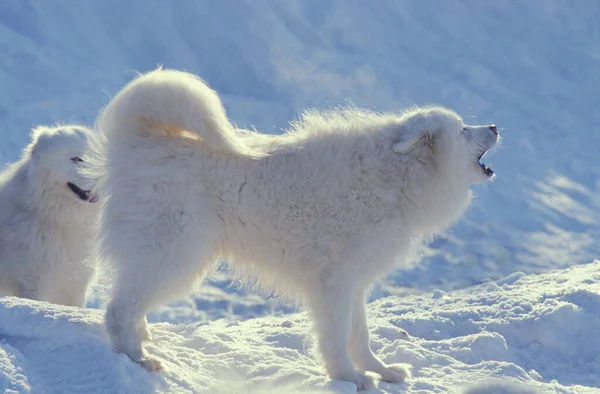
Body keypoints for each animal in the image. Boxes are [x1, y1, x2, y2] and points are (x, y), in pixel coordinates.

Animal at [88, 69, 502, 390]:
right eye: (463, 129)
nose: (496, 125)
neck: (397, 176)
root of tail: (136, 141)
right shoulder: (334, 281)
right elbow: (337, 336)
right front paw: (349, 378)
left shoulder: (355, 282)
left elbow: (361, 335)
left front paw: (380, 371)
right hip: (175, 254)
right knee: (118, 309)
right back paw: (138, 358)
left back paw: (144, 338)